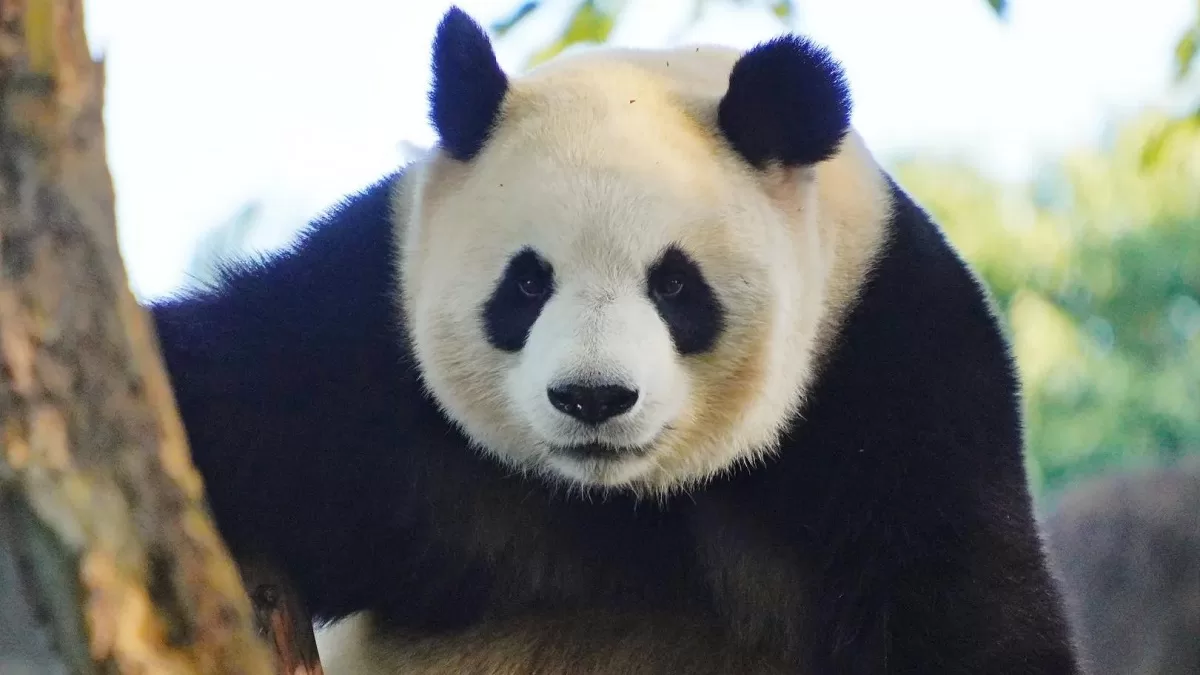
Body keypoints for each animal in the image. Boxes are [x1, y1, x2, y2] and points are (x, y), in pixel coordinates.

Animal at [149, 6, 1082, 674]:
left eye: (673, 285)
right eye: (528, 283)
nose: (592, 398)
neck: (619, 500)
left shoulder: (896, 378)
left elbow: (967, 611)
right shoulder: (366, 330)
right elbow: (252, 397)